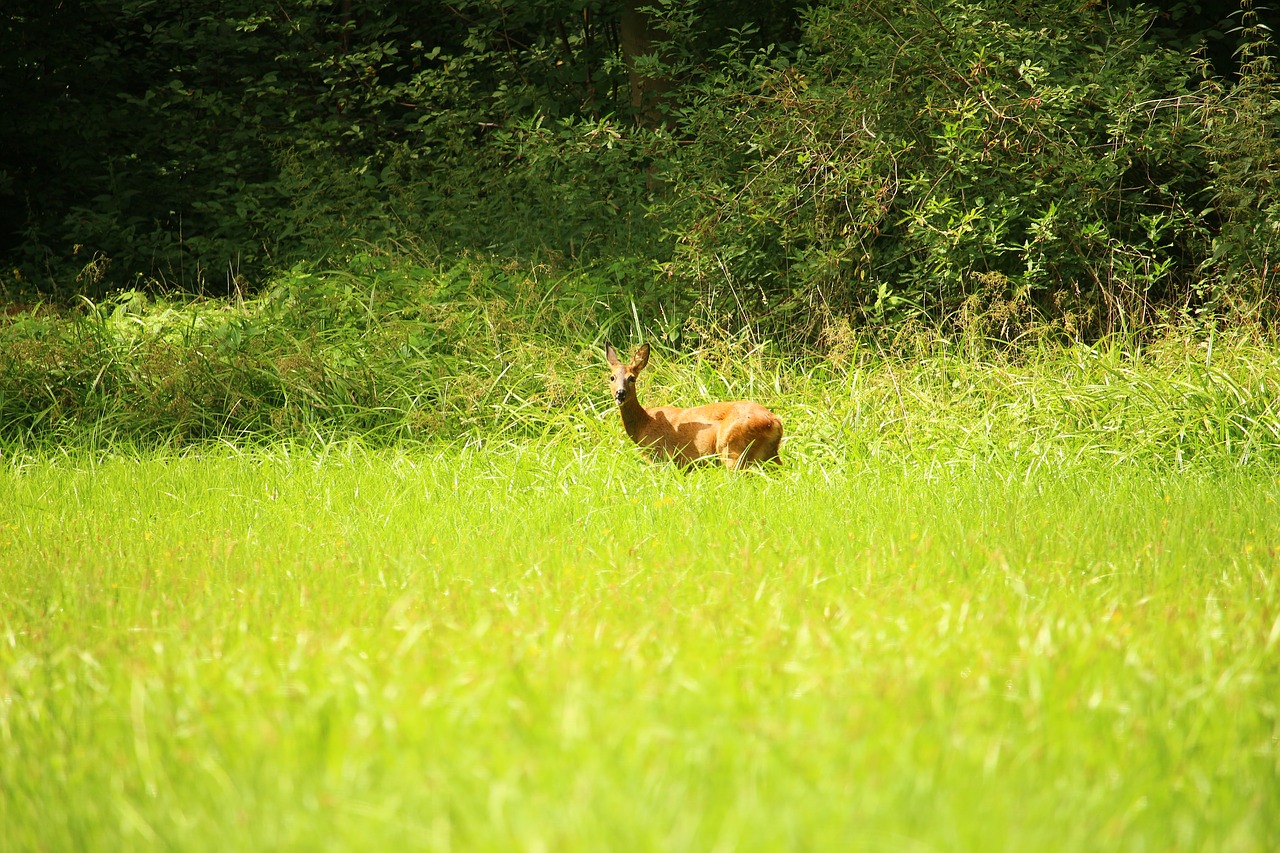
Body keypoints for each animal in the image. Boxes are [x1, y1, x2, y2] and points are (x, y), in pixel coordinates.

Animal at [601, 343, 778, 468]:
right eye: (612, 377)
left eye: (632, 378)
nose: (620, 393)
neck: (644, 423)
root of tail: (773, 422)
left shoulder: (661, 457)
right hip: (768, 454)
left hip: (732, 449)